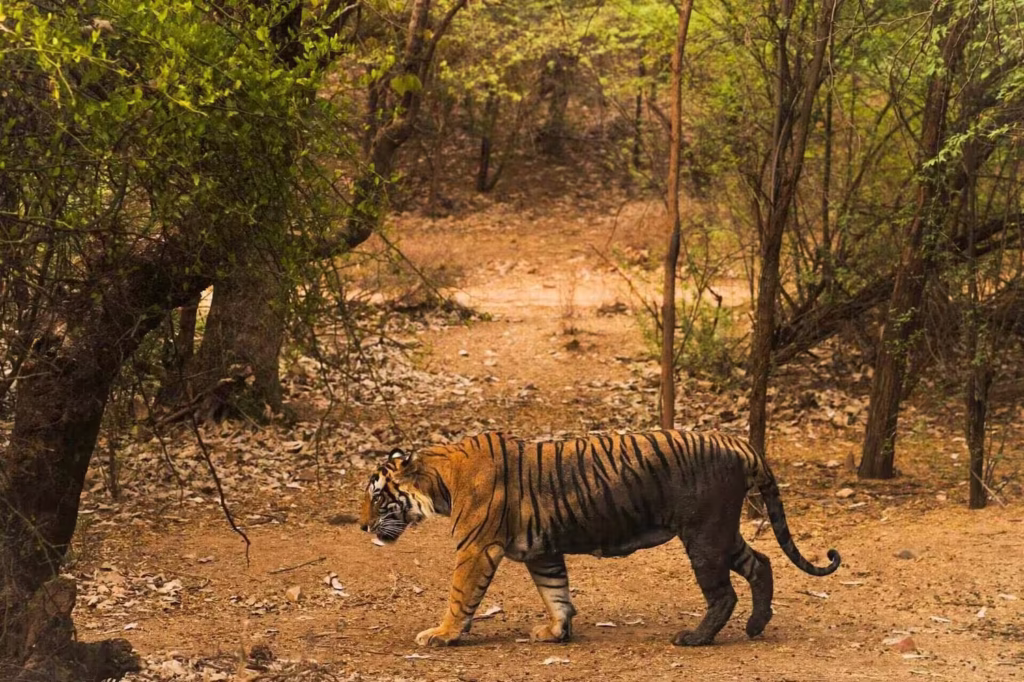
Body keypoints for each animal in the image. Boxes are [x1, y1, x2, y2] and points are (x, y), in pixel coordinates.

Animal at [358, 429, 840, 647]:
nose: (361, 527)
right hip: (721, 533)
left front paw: (442, 634)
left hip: (704, 536)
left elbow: (460, 596)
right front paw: (556, 630)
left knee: (723, 593)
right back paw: (757, 626)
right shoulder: (542, 550)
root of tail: (741, 442)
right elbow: (556, 591)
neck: (441, 481)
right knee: (762, 563)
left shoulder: (476, 548)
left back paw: (695, 638)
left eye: (378, 497)